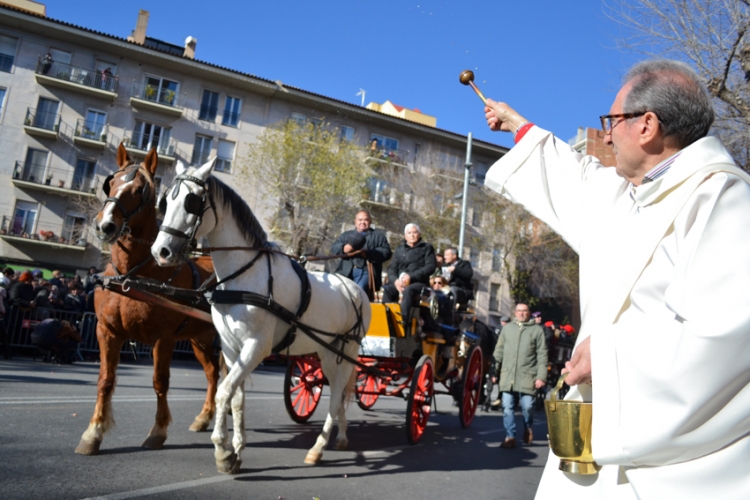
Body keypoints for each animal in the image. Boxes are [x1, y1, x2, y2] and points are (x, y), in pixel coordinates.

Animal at [77, 146, 222, 458]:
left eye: (140, 190)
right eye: (110, 182)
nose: (105, 225)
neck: (133, 274)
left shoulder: (162, 338)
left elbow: (159, 382)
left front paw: (158, 431)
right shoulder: (107, 332)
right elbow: (105, 380)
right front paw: (93, 433)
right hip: (201, 338)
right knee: (213, 373)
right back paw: (206, 416)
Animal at [151, 159, 372, 472]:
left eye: (191, 202)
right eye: (166, 201)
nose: (160, 251)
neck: (243, 275)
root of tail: (355, 289)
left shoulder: (256, 347)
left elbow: (222, 393)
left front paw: (222, 451)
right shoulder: (231, 348)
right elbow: (236, 398)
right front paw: (236, 451)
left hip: (347, 348)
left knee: (337, 393)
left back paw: (318, 448)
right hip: (327, 351)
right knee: (339, 394)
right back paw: (340, 437)